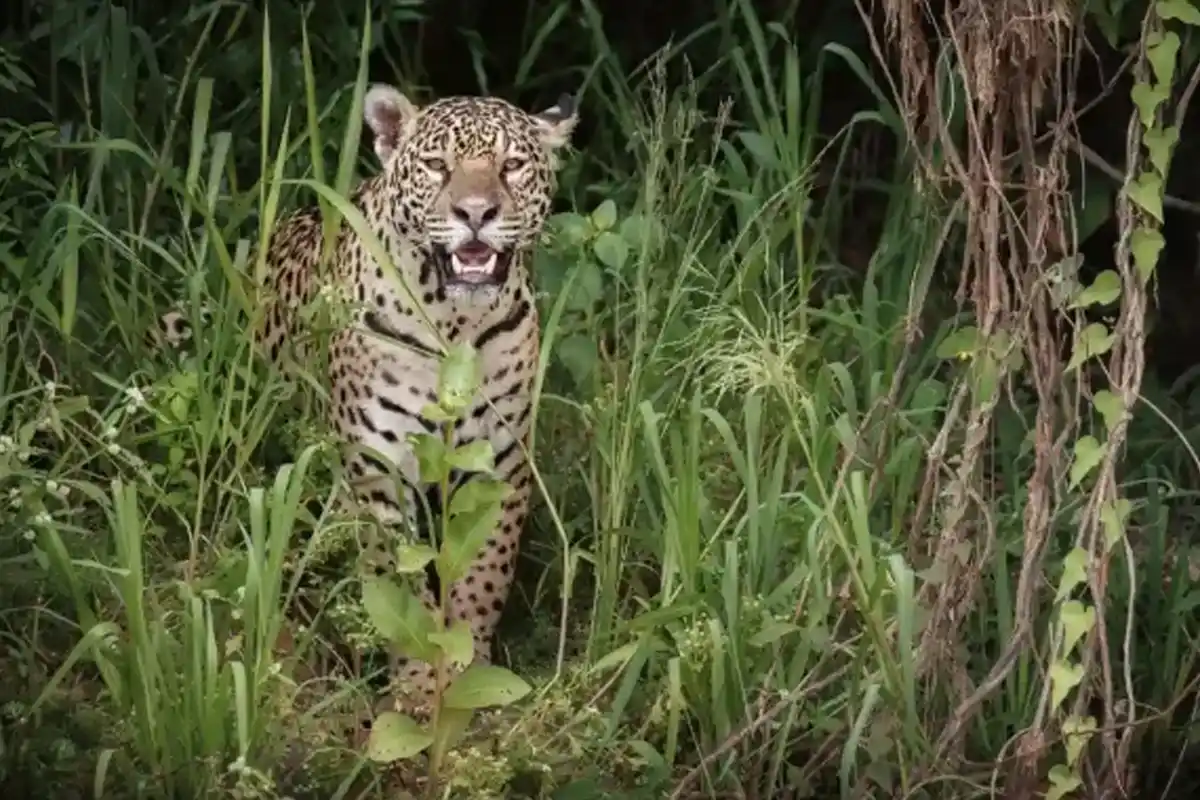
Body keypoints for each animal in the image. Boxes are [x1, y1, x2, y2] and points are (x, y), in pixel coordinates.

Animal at [155, 83, 579, 715]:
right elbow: (397, 583)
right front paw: (420, 684)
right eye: (437, 167)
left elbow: (483, 574)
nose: (476, 214)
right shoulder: (378, 468)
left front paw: (467, 668)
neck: (455, 323)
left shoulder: (499, 463)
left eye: (511, 167)